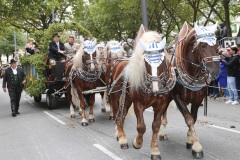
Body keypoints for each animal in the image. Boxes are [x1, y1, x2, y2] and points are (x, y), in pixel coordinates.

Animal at [107, 30, 176, 159]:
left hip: (126, 99)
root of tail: (117, 61)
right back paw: (122, 138)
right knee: (117, 116)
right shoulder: (138, 104)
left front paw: (154, 150)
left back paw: (121, 135)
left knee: (123, 114)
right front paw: (137, 143)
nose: (156, 88)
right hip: (115, 97)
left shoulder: (161, 105)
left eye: (163, 59)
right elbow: (141, 127)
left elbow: (156, 126)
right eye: (146, 60)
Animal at [160, 21, 220, 158]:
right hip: (165, 94)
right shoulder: (178, 98)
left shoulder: (197, 99)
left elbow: (194, 118)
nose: (216, 71)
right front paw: (197, 147)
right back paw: (162, 132)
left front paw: (190, 141)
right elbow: (189, 119)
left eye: (217, 44)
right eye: (203, 45)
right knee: (162, 110)